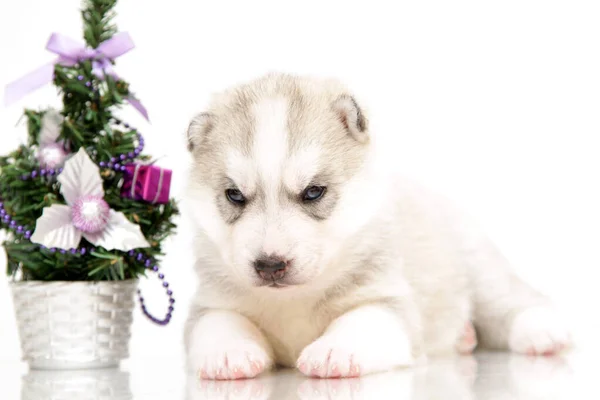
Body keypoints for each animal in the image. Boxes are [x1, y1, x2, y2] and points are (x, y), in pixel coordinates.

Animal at [184, 73, 572, 380]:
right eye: (234, 195)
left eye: (313, 191)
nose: (270, 265)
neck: (294, 298)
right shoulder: (211, 302)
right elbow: (219, 324)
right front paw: (228, 352)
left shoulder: (387, 300)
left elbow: (361, 320)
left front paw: (335, 351)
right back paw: (465, 338)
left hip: (481, 270)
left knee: (514, 301)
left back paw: (543, 333)